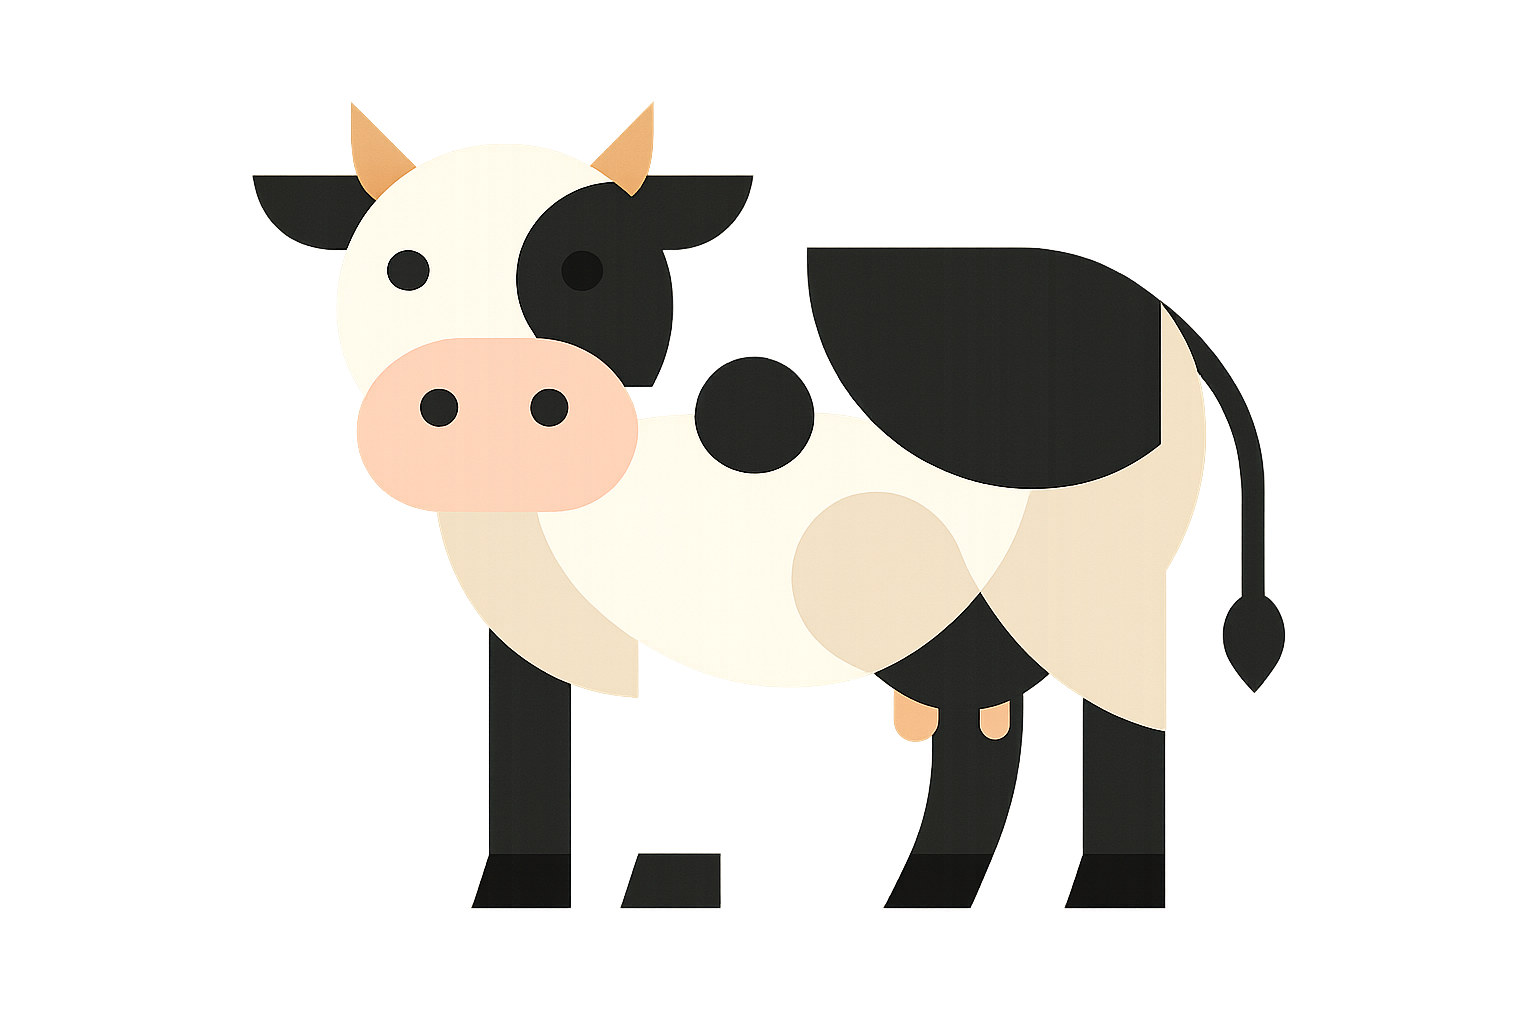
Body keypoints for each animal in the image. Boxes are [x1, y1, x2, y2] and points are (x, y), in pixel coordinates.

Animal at [252, 101, 1285, 911]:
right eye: (404, 266)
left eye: (585, 267)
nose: (484, 393)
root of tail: (1177, 333)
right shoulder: (532, 650)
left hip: (1108, 592)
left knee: (1113, 727)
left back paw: (1069, 893)